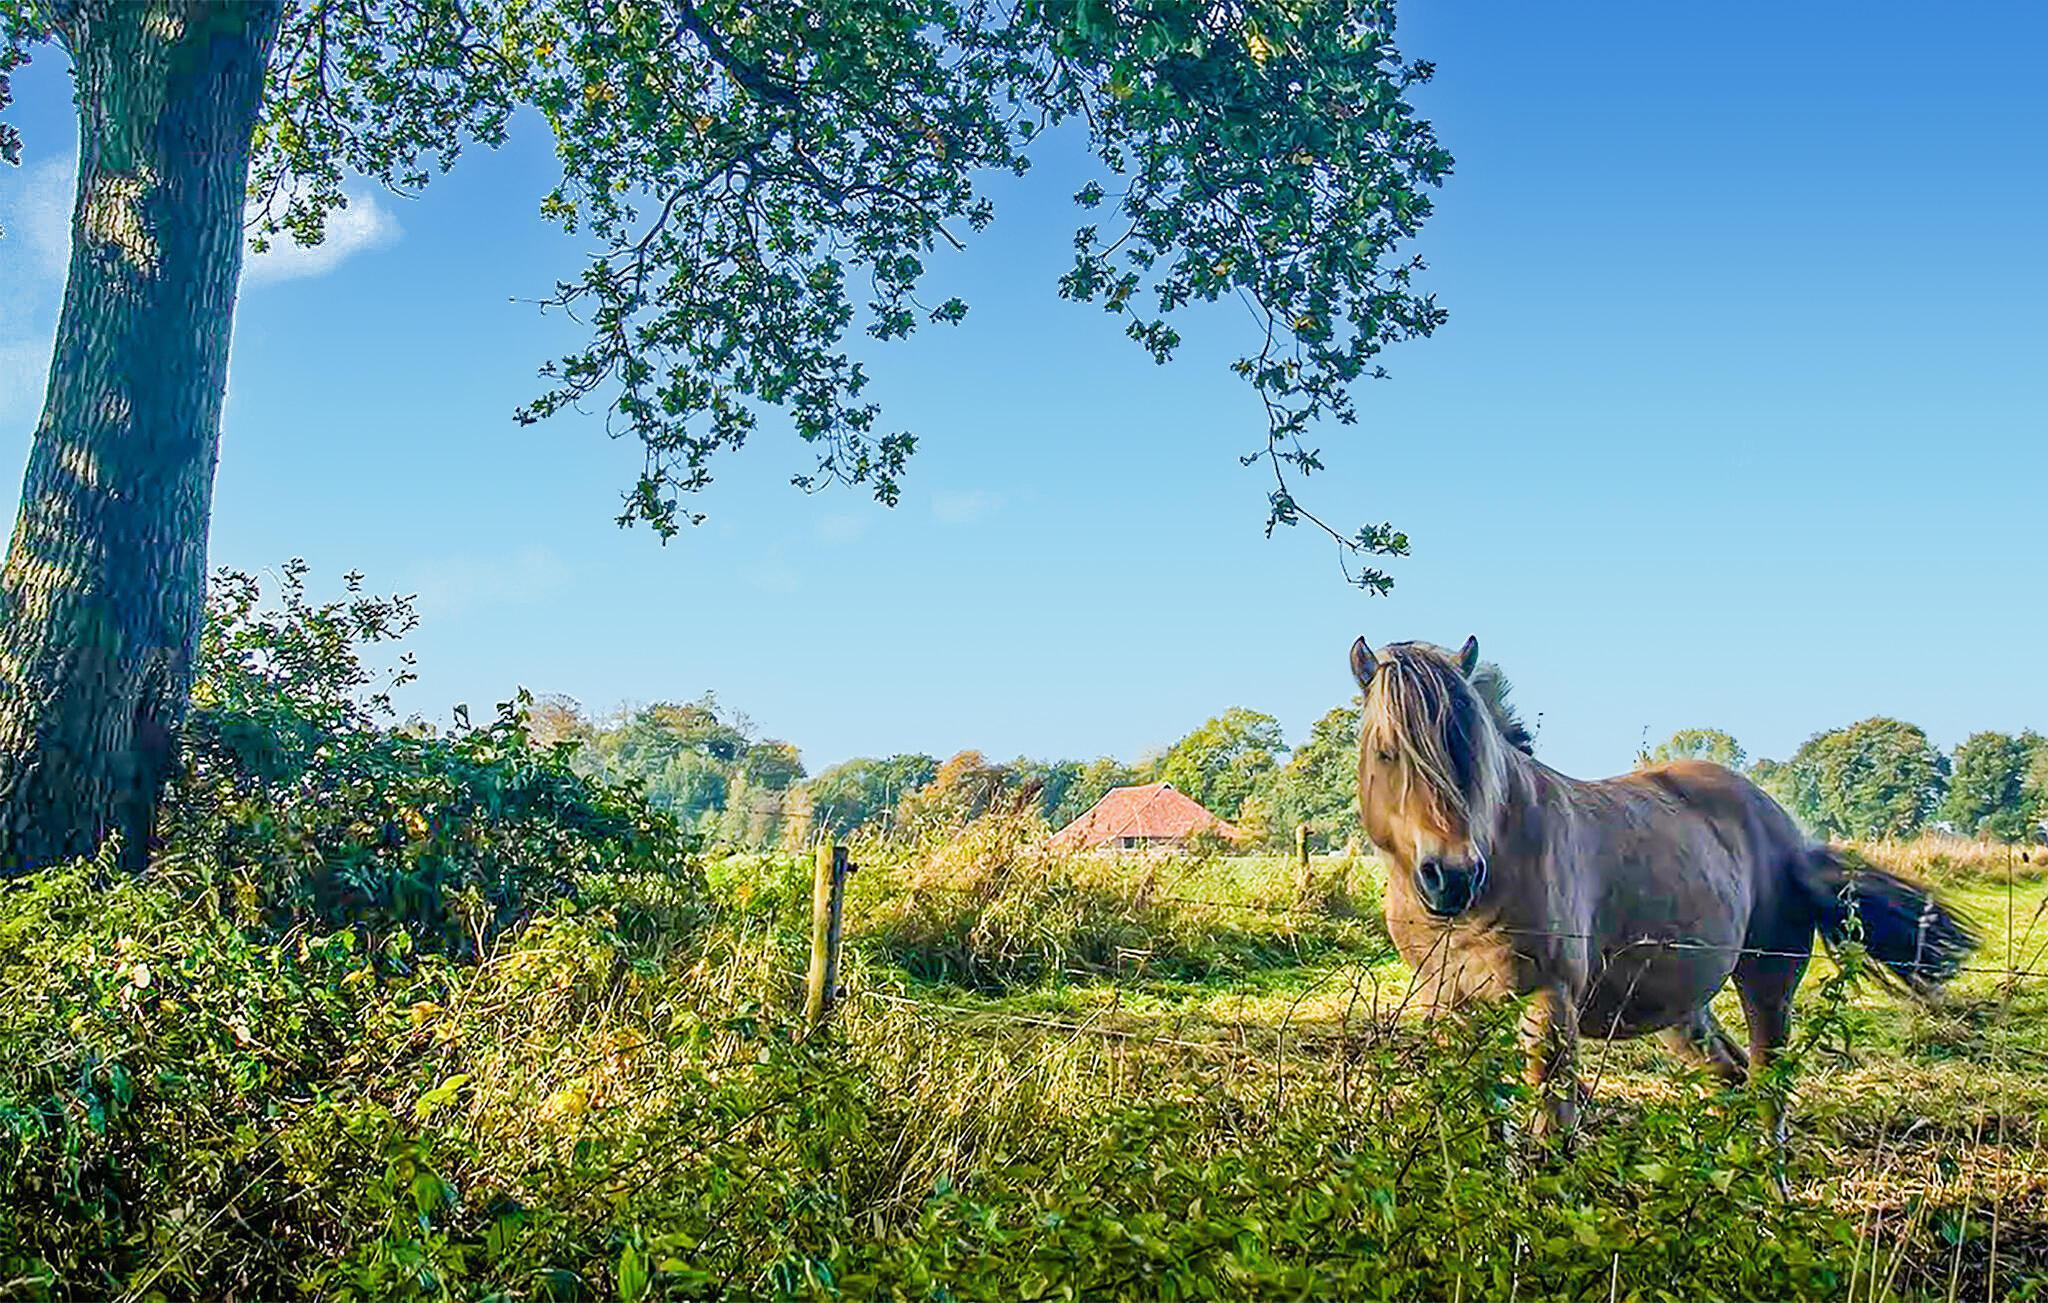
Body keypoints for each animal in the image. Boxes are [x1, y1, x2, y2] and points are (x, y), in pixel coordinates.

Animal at [1349, 635, 1977, 1143]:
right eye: (1387, 751)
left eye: (1471, 753)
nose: (1452, 876)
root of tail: (1787, 833)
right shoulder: (1449, 1008)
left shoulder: (1549, 1006)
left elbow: (1550, 1138)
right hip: (1685, 1009)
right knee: (1731, 1079)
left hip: (1767, 984)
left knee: (1767, 1092)